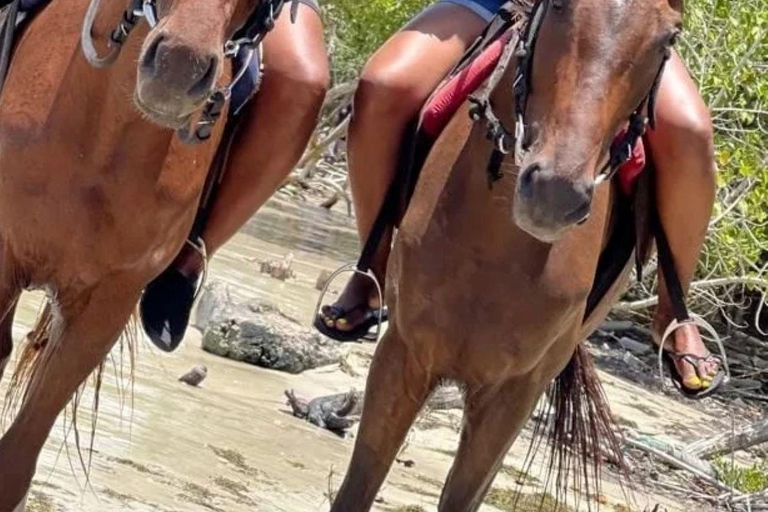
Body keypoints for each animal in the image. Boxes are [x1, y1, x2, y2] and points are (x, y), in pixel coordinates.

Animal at [330, 1, 684, 512]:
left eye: (669, 39)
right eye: (557, 6)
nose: (555, 194)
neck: (494, 246)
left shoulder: (515, 392)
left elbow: (463, 496)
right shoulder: (404, 355)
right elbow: (357, 487)